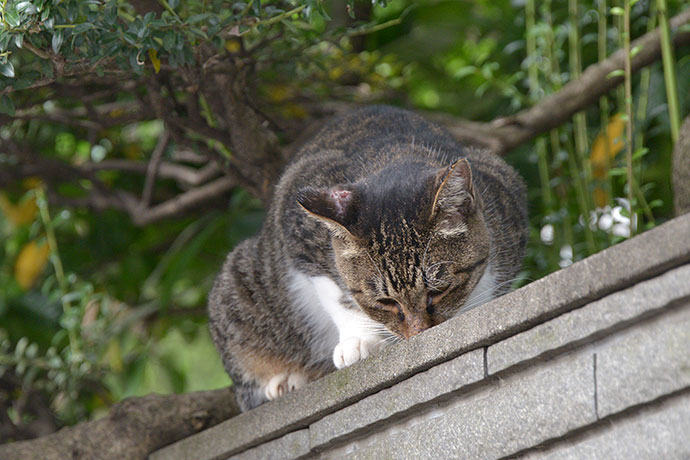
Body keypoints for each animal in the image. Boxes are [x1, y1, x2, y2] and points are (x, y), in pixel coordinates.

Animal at [207, 106, 524, 412]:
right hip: (239, 284)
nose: (419, 333)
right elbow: (338, 293)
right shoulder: (297, 225)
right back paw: (286, 380)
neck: (395, 154)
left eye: (439, 290)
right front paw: (358, 340)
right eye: (385, 302)